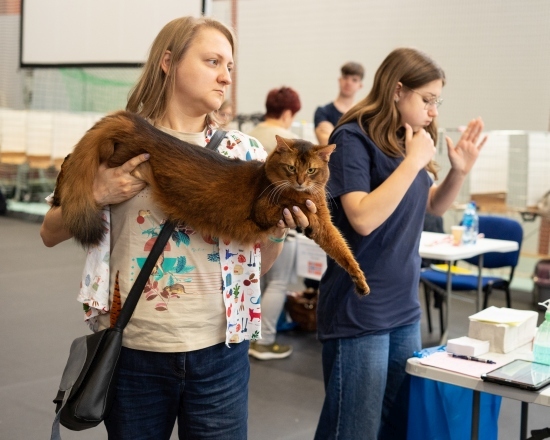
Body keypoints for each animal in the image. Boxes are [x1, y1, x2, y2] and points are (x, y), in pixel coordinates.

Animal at [52, 110, 370, 296]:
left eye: (312, 170)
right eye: (291, 168)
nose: (302, 181)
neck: (307, 195)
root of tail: (138, 125)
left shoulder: (324, 223)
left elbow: (342, 249)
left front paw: (360, 280)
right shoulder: (264, 208)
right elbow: (286, 205)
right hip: (113, 159)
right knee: (71, 162)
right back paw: (56, 196)